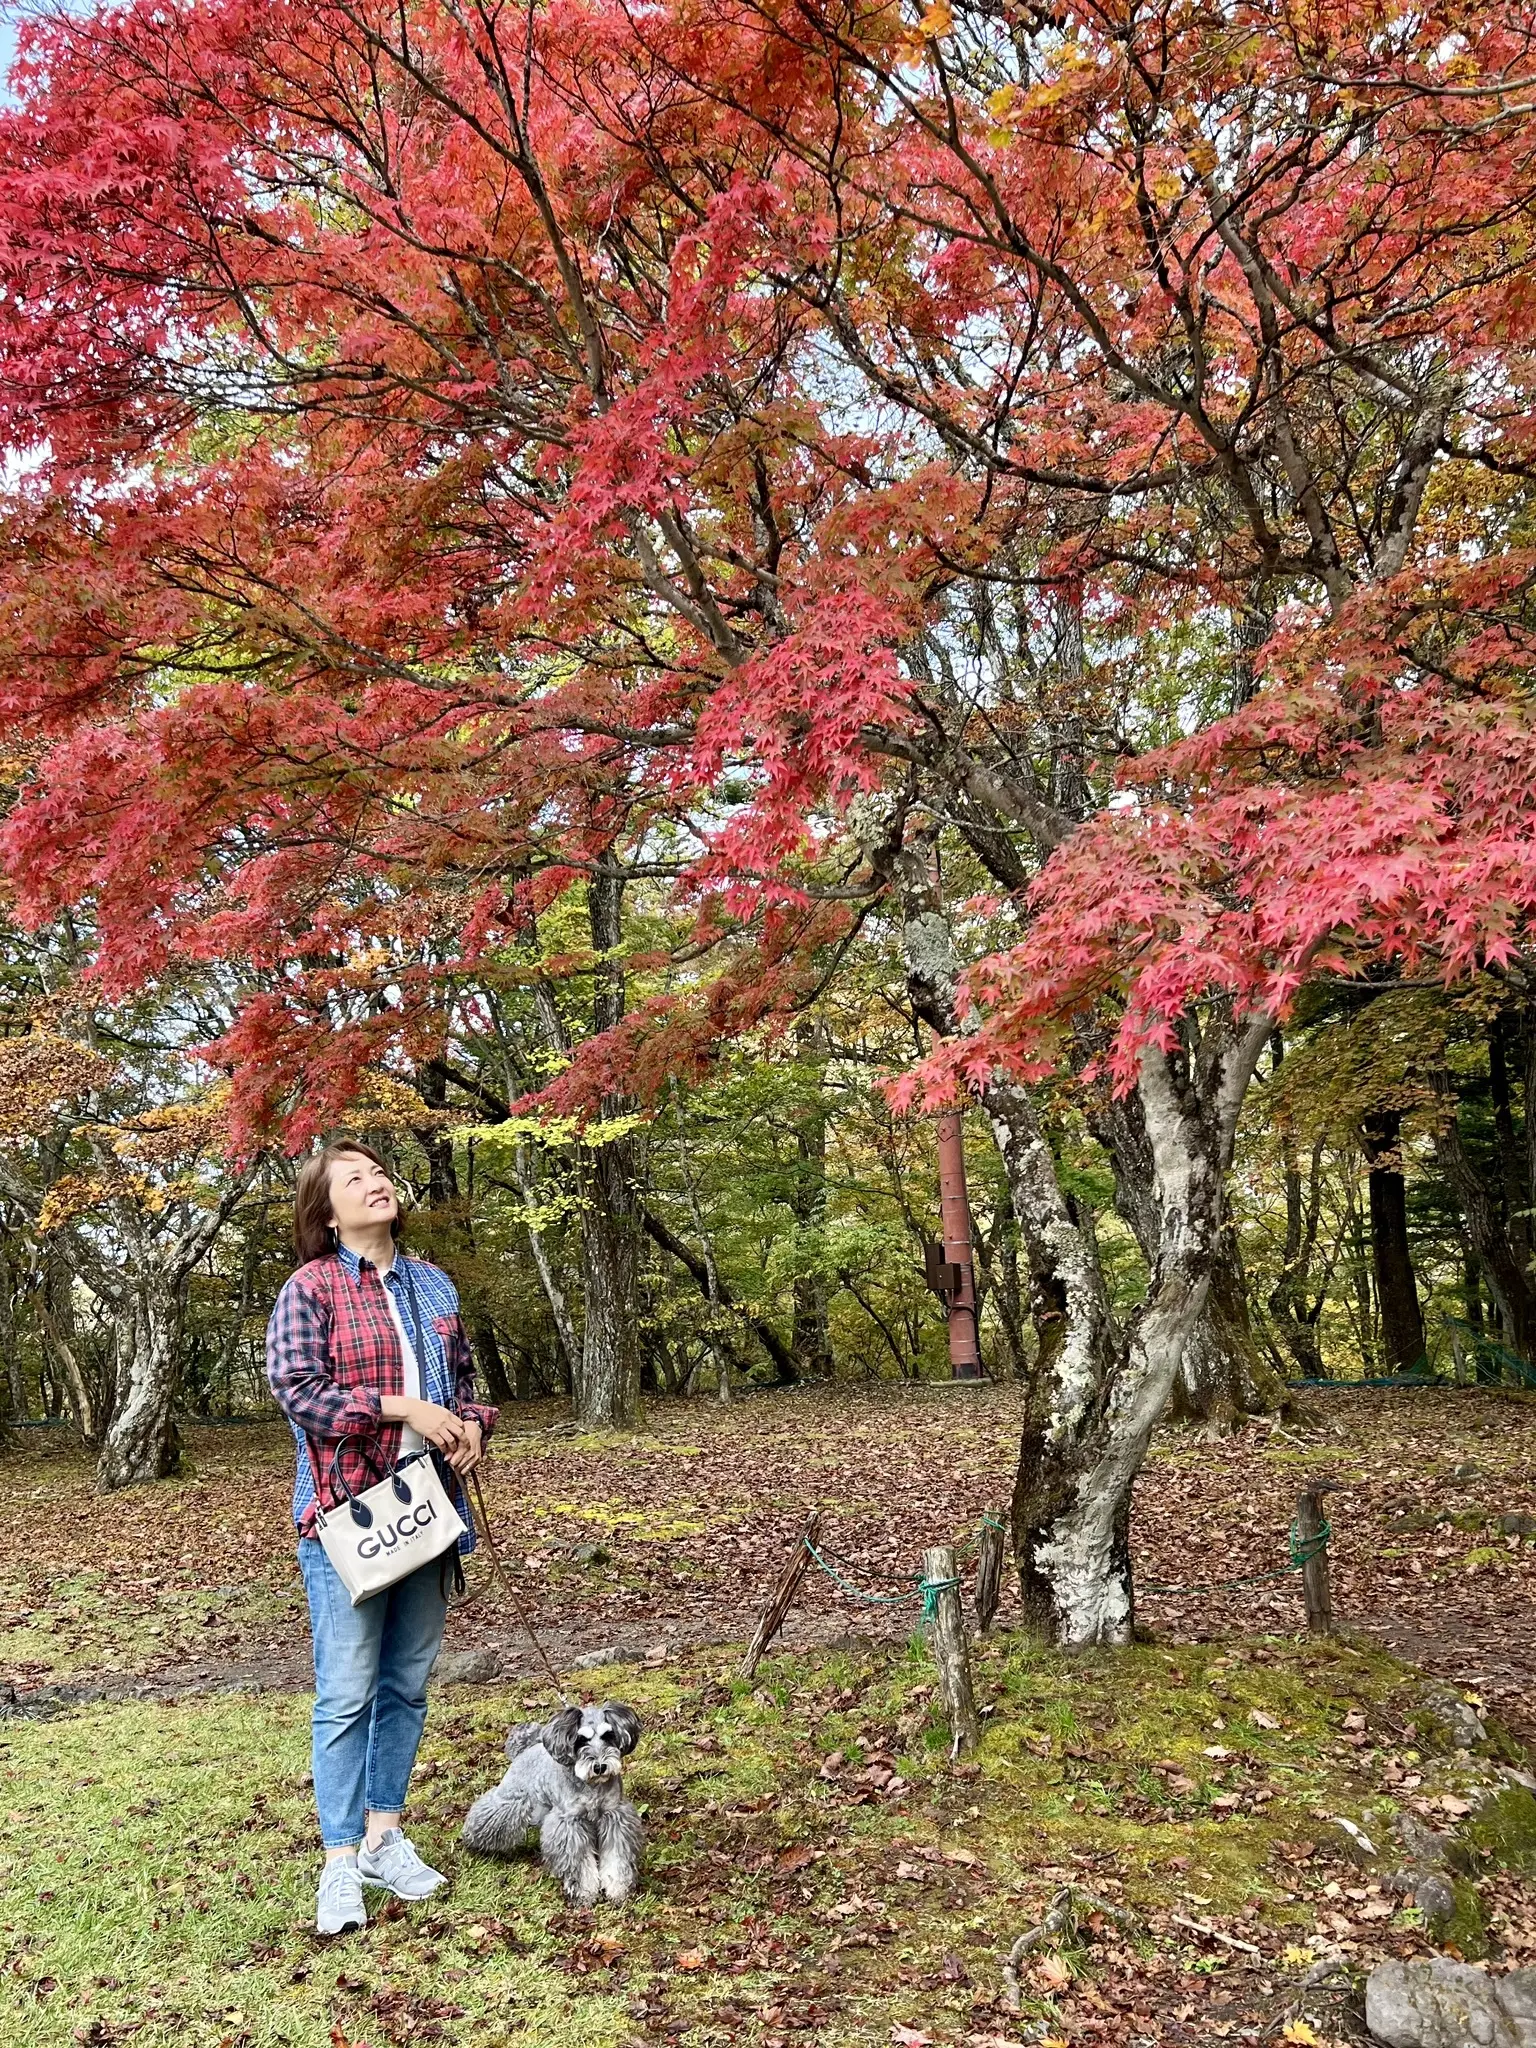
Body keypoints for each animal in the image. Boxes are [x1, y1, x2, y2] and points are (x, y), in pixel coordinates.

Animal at [460, 1695, 647, 1900]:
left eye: (608, 1736)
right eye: (581, 1740)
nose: (599, 1767)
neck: (591, 1785)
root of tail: (528, 1746)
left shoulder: (614, 1815)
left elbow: (617, 1857)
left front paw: (617, 1888)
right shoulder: (570, 1823)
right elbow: (579, 1863)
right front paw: (585, 1892)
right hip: (511, 1798)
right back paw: (473, 1842)